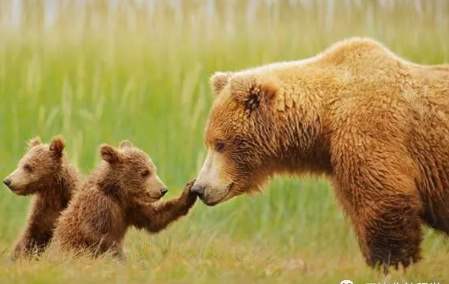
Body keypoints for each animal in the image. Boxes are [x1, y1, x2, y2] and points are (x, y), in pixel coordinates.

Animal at [191, 37, 448, 268]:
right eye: (209, 142)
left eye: (220, 144)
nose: (199, 188)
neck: (325, 122)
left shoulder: (371, 132)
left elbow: (385, 201)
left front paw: (393, 264)